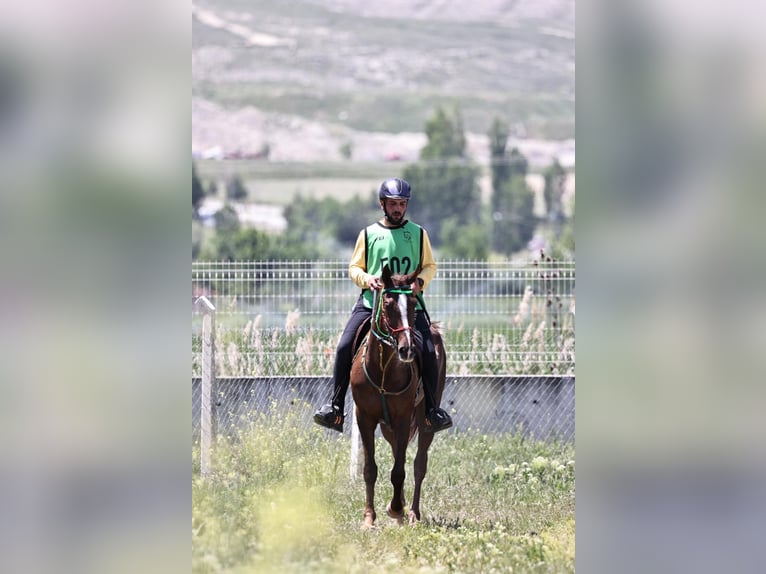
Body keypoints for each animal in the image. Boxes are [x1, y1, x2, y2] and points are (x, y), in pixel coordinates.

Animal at [349, 263, 447, 528]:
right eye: (388, 303)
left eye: (413, 303)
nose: (407, 349)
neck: (383, 368)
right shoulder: (365, 418)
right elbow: (370, 469)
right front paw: (369, 518)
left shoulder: (403, 418)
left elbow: (399, 470)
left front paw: (395, 509)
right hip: (387, 426)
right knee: (397, 453)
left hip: (424, 419)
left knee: (418, 464)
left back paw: (411, 512)